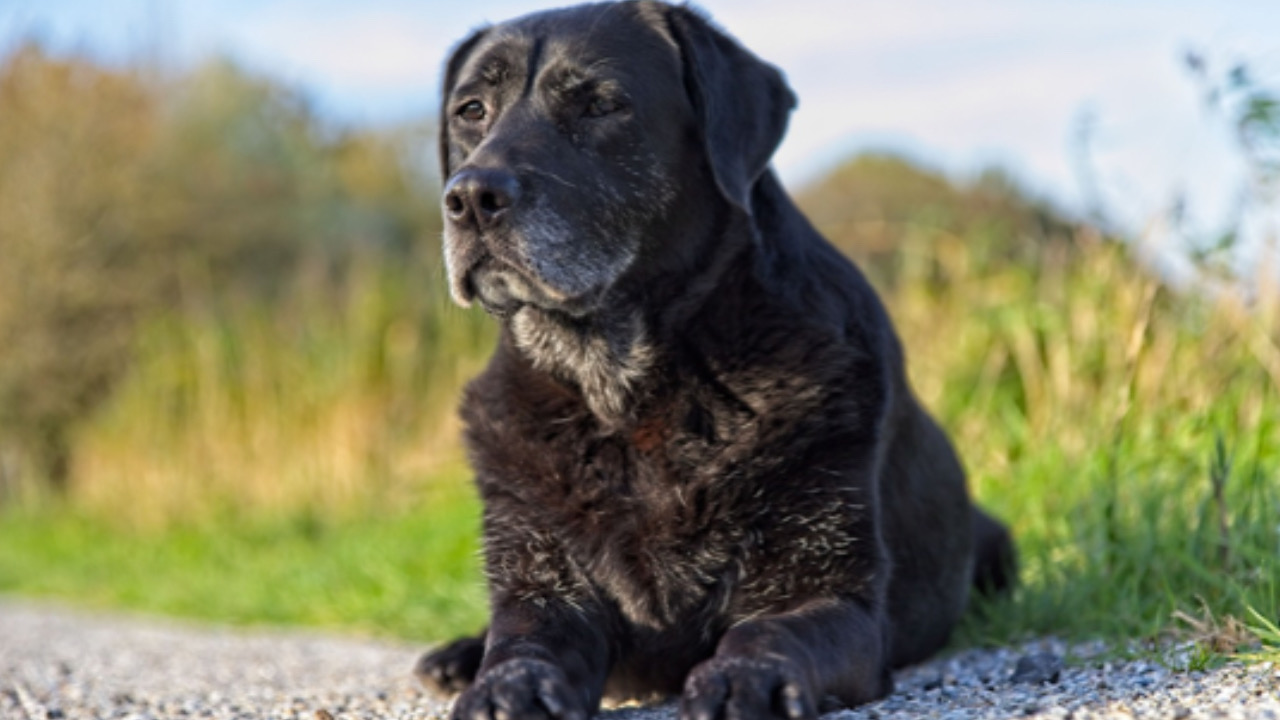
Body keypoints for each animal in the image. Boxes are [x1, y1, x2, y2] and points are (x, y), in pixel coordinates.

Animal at [414, 2, 1013, 712]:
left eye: (601, 105)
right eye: (471, 109)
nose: (470, 197)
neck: (622, 387)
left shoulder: (828, 595)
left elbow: (768, 634)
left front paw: (742, 678)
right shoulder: (542, 583)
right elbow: (521, 642)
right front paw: (504, 684)